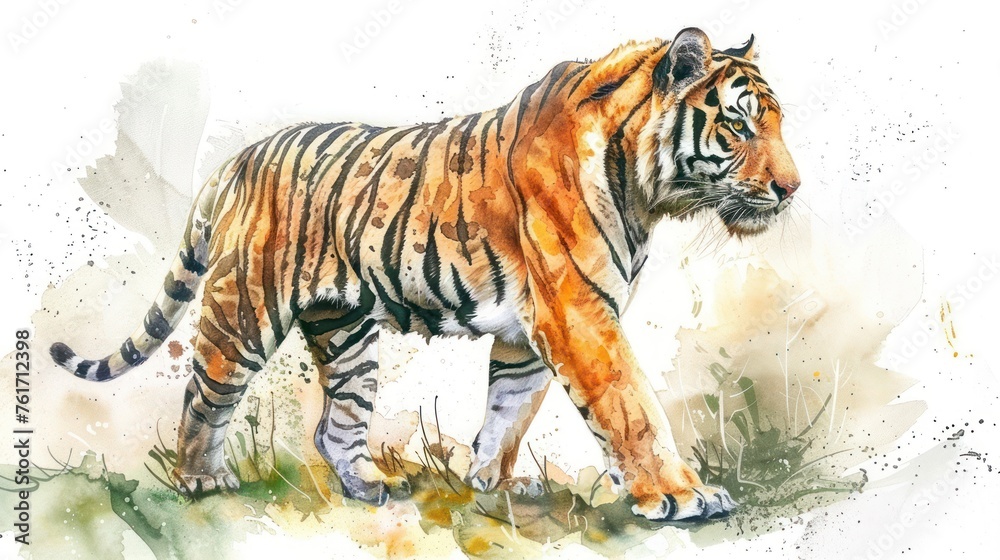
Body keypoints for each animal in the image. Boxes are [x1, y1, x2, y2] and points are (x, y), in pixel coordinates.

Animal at [50, 27, 799, 522]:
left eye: (778, 124)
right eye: (739, 127)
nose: (792, 189)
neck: (644, 188)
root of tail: (242, 158)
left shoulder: (530, 331)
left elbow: (507, 412)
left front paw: (493, 484)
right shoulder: (579, 314)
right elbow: (631, 408)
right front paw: (681, 495)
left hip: (346, 330)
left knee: (334, 426)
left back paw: (368, 487)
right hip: (245, 313)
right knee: (204, 396)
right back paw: (202, 482)